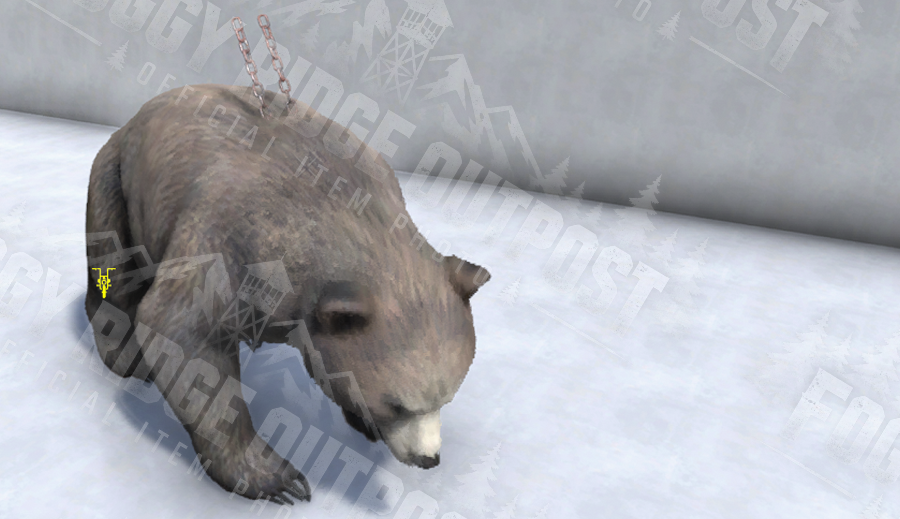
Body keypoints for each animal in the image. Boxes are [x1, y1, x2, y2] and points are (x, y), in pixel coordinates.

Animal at [84, 84, 490, 505]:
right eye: (397, 405)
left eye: (447, 397)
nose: (428, 459)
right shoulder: (227, 245)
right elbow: (182, 333)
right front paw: (276, 478)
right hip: (117, 180)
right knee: (113, 265)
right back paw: (125, 355)